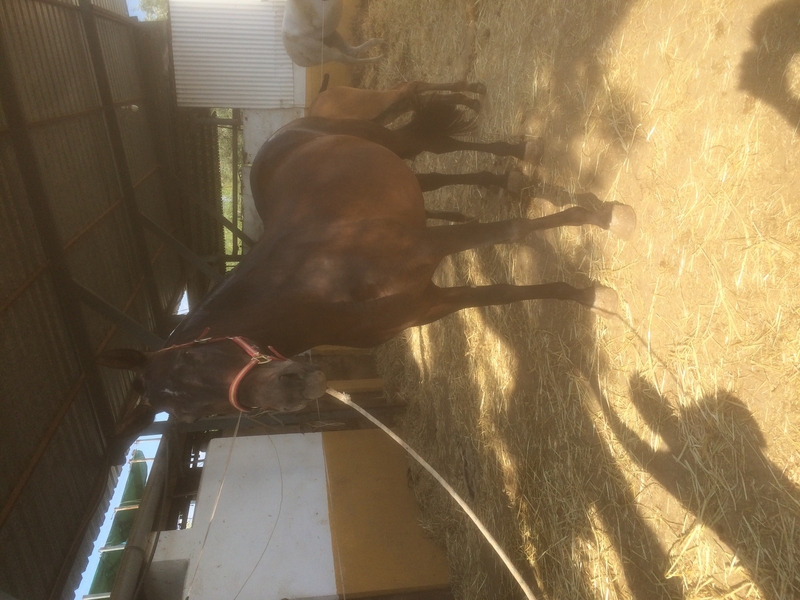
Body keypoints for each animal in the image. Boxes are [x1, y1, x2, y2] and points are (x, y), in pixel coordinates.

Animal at [98, 109, 636, 457]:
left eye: (192, 356)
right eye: (188, 417)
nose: (291, 386)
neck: (310, 281)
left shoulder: (427, 248)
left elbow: (512, 232)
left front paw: (603, 218)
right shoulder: (428, 304)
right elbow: (501, 293)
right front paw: (590, 295)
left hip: (388, 140)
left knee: (434, 145)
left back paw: (521, 153)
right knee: (432, 179)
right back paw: (507, 180)